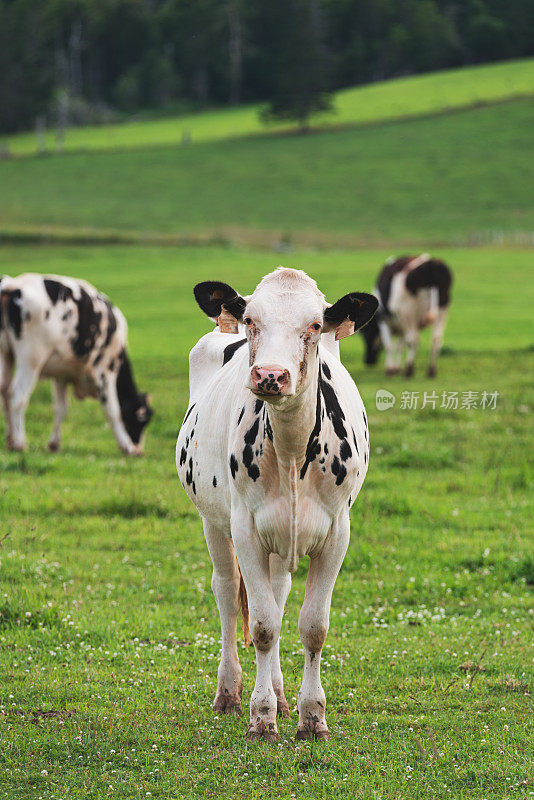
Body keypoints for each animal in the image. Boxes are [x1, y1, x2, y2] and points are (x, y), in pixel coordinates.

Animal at [0, 274, 153, 454]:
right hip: (31, 358)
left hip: (6, 355)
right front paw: (126, 446)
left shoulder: (61, 374)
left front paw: (54, 444)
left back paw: (10, 440)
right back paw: (19, 443)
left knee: (4, 391)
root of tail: (14, 283)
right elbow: (113, 410)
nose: (139, 450)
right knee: (18, 396)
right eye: (141, 420)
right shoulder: (106, 370)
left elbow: (61, 408)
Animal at [178, 268, 378, 744]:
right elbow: (264, 626)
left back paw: (283, 696)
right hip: (213, 522)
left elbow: (313, 626)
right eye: (251, 319)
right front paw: (261, 717)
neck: (289, 449)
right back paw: (229, 693)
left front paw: (311, 716)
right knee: (228, 593)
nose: (271, 374)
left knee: (280, 593)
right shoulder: (246, 530)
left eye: (316, 325)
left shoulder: (337, 534)